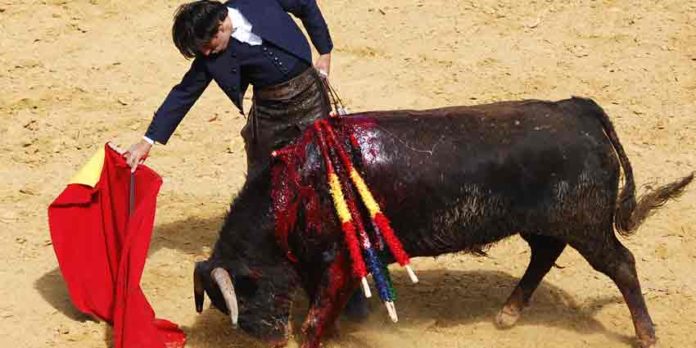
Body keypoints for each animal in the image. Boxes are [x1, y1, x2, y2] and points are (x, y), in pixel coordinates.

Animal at [193, 96, 692, 346]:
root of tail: (576, 109)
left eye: (244, 296)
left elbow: (315, 319)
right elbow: (324, 309)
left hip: (586, 225)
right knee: (545, 253)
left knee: (621, 264)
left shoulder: (340, 262)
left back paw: (647, 335)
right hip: (548, 222)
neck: (296, 188)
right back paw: (508, 314)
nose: (271, 341)